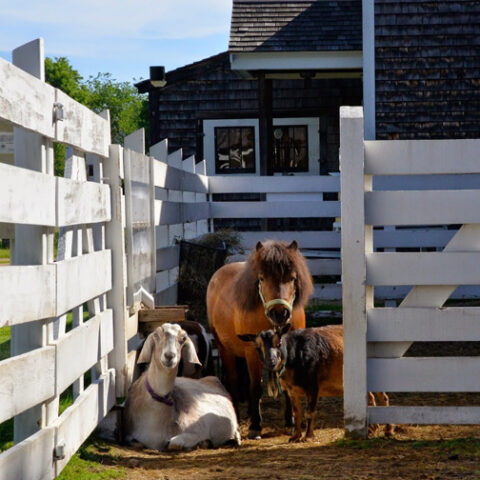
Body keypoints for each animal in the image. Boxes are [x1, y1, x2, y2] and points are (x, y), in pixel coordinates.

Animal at [123, 322, 240, 450]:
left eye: (183, 339)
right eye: (156, 335)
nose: (169, 356)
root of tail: (214, 380)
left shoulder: (198, 428)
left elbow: (172, 443)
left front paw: (203, 442)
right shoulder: (129, 435)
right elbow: (136, 442)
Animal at [207, 240, 316, 438]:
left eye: (292, 278)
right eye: (262, 278)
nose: (280, 313)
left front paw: (290, 422)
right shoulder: (252, 351)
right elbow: (256, 387)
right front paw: (255, 426)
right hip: (224, 349)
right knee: (234, 380)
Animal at [240, 326, 394, 442]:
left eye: (278, 343)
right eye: (257, 347)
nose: (271, 362)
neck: (296, 355)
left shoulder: (313, 386)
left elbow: (310, 412)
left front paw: (308, 436)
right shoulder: (292, 390)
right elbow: (297, 412)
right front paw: (295, 436)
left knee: (383, 398)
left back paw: (388, 430)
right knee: (372, 398)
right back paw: (373, 429)